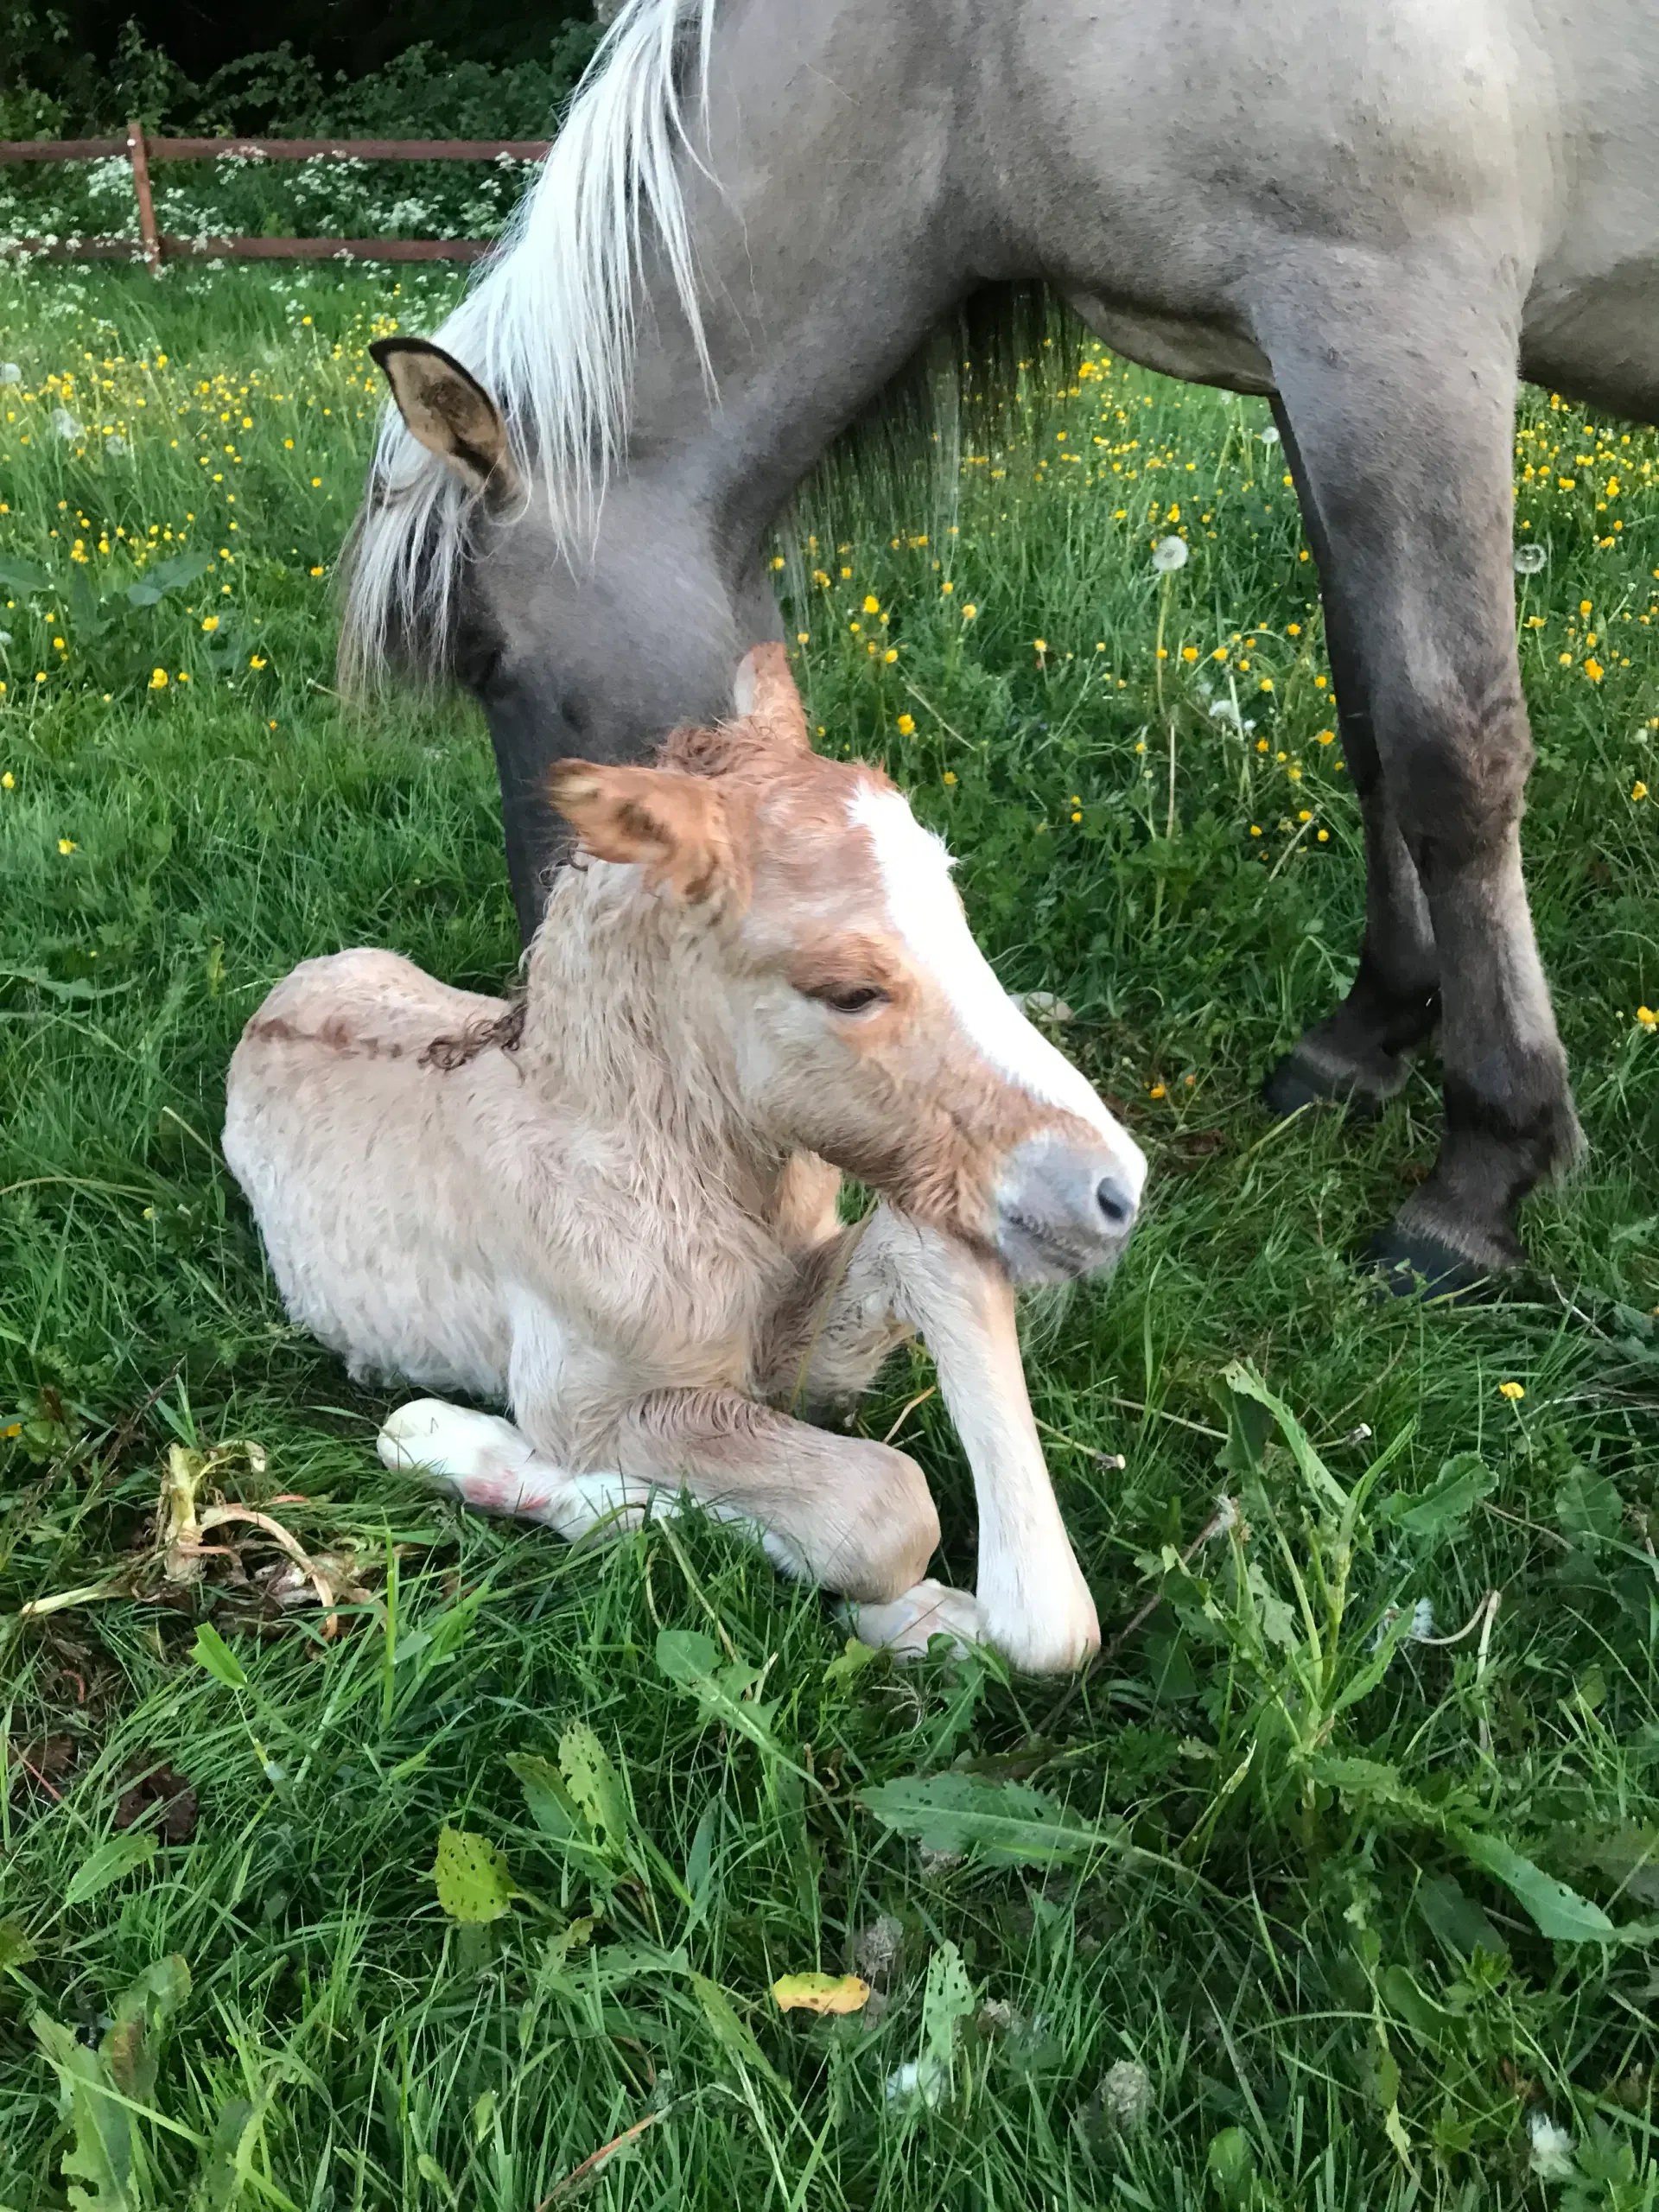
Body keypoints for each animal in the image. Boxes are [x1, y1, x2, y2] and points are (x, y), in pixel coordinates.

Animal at [227, 645, 1150, 1663]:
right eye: (851, 989)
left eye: (959, 916)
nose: (1112, 1193)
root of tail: (281, 993)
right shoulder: (583, 1400)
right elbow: (882, 1510)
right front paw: (474, 1451)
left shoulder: (792, 1344)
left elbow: (1050, 1625)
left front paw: (942, 1623)